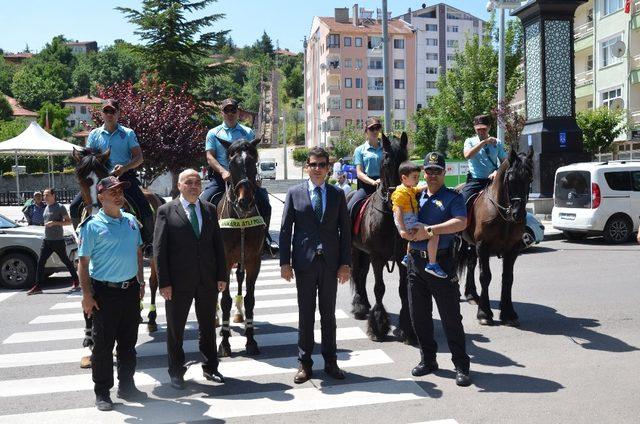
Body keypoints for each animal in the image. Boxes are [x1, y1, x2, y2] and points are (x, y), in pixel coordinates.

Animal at [71, 147, 165, 332]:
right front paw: (88, 327)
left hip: (153, 252)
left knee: (152, 282)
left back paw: (151, 318)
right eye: (80, 181)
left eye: (102, 178)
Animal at [348, 133, 418, 344]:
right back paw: (360, 307)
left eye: (406, 161)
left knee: (362, 275)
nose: (398, 196)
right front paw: (378, 326)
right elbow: (379, 288)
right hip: (355, 251)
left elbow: (403, 290)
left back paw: (363, 304)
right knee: (357, 274)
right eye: (386, 162)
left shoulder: (402, 258)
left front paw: (407, 328)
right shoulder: (377, 258)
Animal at [456, 147, 536, 326]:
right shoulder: (483, 246)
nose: (519, 214)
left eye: (530, 178)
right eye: (511, 179)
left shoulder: (512, 249)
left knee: (471, 263)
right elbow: (485, 276)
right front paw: (484, 313)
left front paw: (508, 312)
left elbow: (508, 278)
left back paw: (472, 294)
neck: (503, 214)